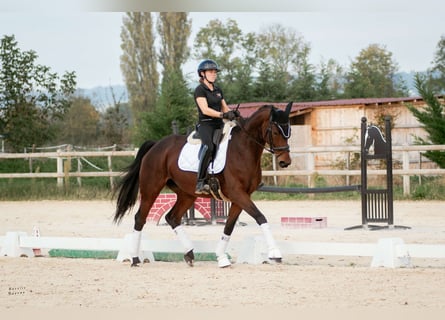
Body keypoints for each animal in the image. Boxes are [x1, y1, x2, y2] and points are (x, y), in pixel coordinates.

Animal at [112, 102, 294, 268]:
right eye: (276, 132)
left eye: (289, 132)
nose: (285, 162)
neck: (243, 150)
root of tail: (156, 145)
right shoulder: (237, 194)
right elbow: (260, 217)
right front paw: (275, 253)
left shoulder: (240, 197)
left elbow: (229, 226)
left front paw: (221, 257)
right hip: (151, 189)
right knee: (140, 218)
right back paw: (135, 258)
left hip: (186, 194)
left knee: (172, 217)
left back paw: (189, 254)